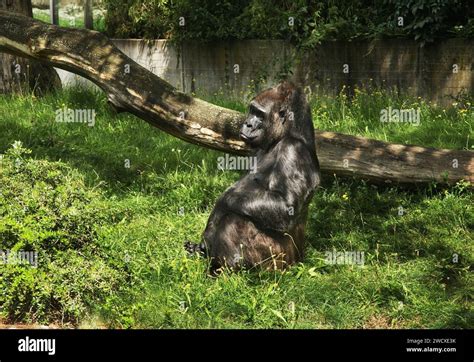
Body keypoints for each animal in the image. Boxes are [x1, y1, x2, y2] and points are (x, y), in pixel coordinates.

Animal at [184, 81, 318, 274]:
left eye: (259, 114)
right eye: (252, 110)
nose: (247, 124)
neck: (286, 133)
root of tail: (299, 259)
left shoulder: (293, 151)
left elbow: (286, 205)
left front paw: (222, 203)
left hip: (278, 264)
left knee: (234, 220)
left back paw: (220, 272)